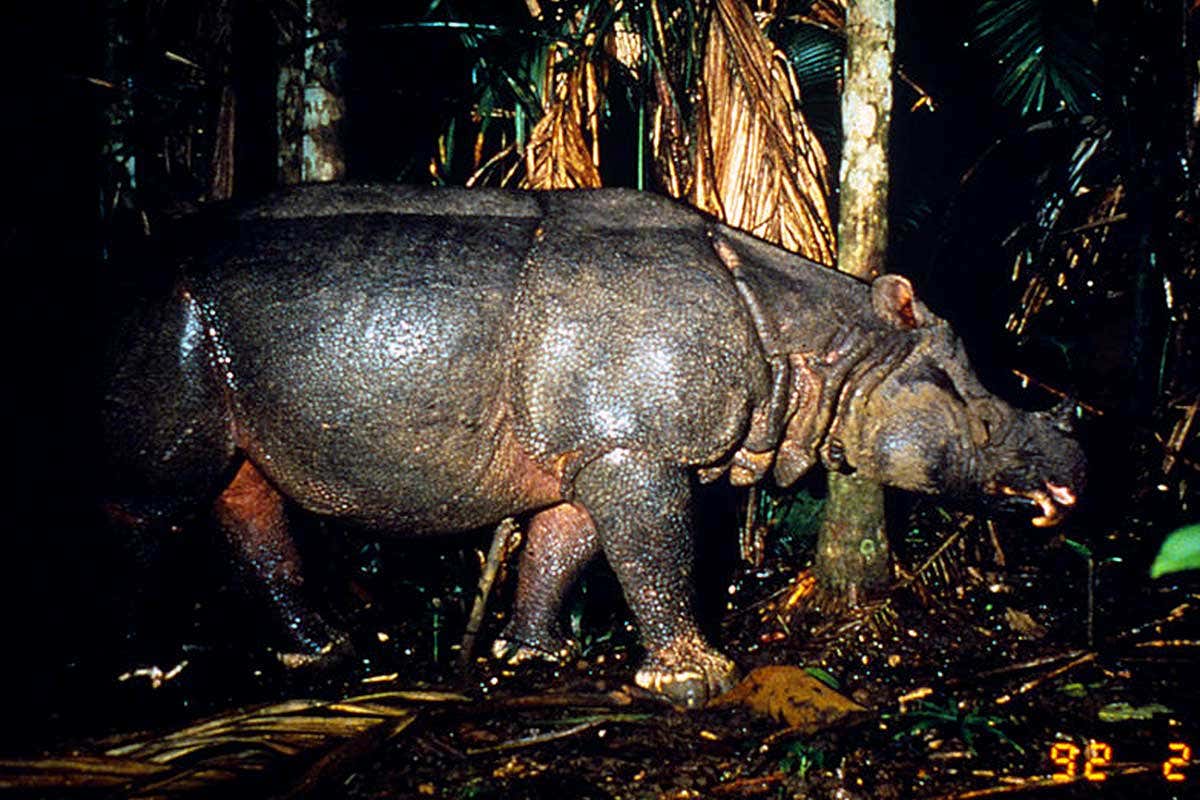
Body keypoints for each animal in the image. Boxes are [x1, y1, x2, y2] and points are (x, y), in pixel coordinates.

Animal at [102, 184, 1085, 707]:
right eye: (983, 411)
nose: (1079, 462)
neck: (825, 344)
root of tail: (129, 270)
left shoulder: (596, 440)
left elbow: (563, 547)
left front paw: (535, 658)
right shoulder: (636, 447)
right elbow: (655, 554)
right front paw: (699, 683)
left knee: (241, 492)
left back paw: (321, 653)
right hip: (169, 322)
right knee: (155, 503)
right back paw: (146, 668)